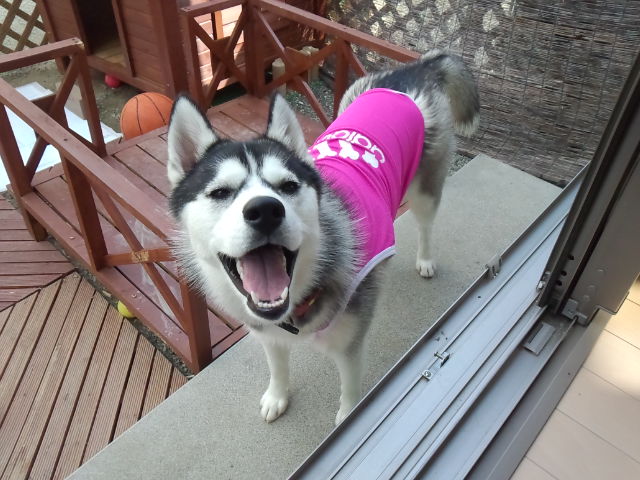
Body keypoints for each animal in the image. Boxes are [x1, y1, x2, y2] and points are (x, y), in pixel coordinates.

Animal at [166, 50, 479, 425]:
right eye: (220, 192)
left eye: (288, 186)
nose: (265, 210)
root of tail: (414, 69)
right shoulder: (268, 334)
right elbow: (278, 365)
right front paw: (277, 396)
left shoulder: (349, 344)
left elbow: (350, 388)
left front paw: (348, 418)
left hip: (425, 192)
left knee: (425, 224)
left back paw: (426, 259)